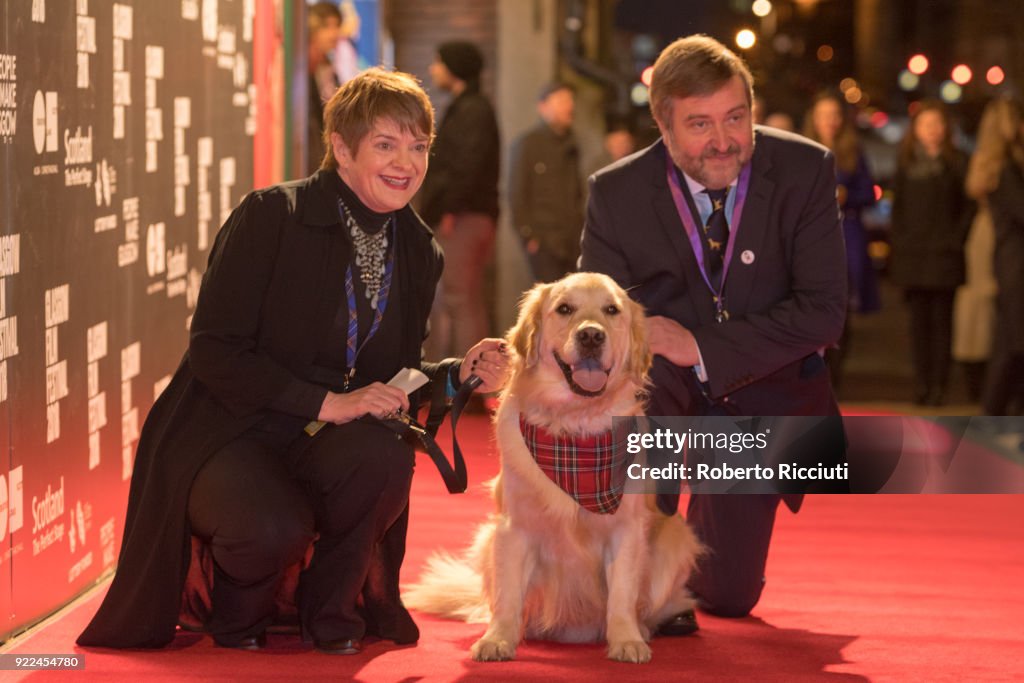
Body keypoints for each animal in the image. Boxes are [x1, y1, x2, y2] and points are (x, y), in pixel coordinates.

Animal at [407, 272, 704, 663]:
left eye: (612, 310)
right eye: (564, 309)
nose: (591, 336)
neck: (573, 426)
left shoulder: (626, 530)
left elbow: (622, 594)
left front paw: (626, 639)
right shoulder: (513, 527)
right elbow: (508, 595)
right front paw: (498, 639)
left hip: (675, 538)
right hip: (487, 539)